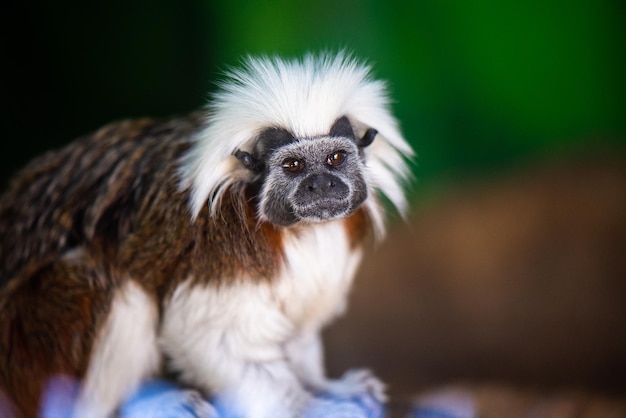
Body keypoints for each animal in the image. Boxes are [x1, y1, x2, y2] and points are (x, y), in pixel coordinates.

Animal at [0, 53, 412, 418]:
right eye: (293, 165)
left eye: (335, 159)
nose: (320, 184)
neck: (301, 231)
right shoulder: (220, 246)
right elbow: (211, 338)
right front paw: (308, 406)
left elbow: (296, 329)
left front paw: (324, 386)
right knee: (111, 287)